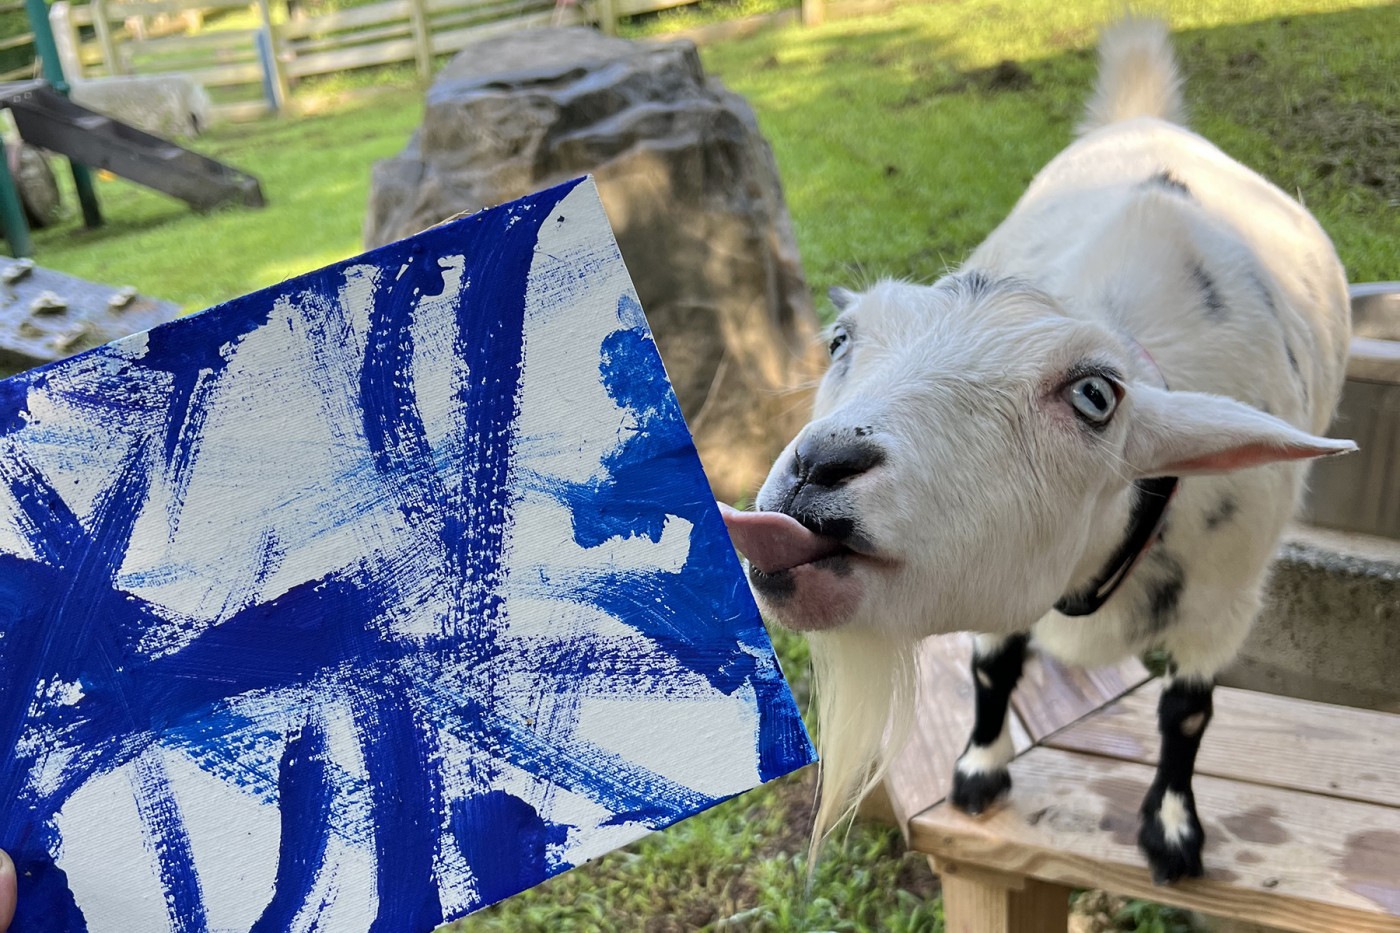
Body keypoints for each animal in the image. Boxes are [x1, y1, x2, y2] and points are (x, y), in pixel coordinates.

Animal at [722, 18, 1355, 885]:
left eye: (1095, 396)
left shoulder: (1225, 605)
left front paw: (1172, 832)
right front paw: (979, 771)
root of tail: (1145, 116)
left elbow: (1187, 711)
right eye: (839, 341)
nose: (819, 468)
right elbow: (993, 669)